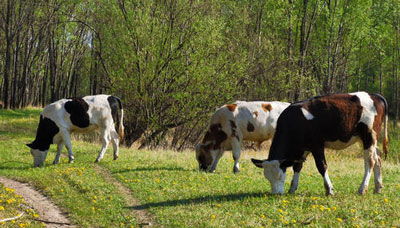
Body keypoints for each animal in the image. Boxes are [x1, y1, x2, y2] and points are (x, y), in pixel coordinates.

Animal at [253, 91, 388, 195]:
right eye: (267, 177)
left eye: (280, 176)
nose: (276, 193)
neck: (294, 121)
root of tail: (375, 95)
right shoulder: (303, 148)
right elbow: (297, 166)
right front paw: (292, 189)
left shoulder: (316, 145)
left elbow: (322, 166)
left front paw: (329, 190)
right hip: (365, 139)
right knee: (378, 158)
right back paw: (378, 188)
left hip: (369, 135)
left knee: (370, 161)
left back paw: (362, 189)